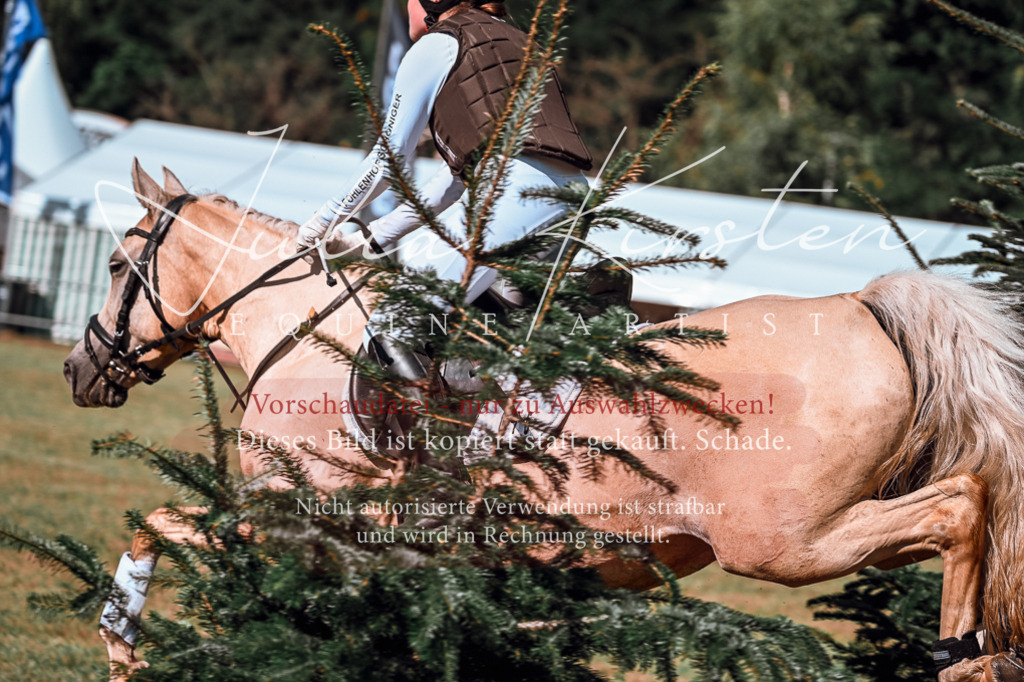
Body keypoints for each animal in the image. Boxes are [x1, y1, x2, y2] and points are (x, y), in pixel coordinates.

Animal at [62, 161, 1024, 682]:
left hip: (787, 542)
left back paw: (964, 656)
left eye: (113, 264)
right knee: (968, 511)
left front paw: (121, 644)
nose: (79, 370)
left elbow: (157, 522)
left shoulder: (303, 517)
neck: (308, 334)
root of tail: (860, 306)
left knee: (961, 509)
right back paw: (976, 654)